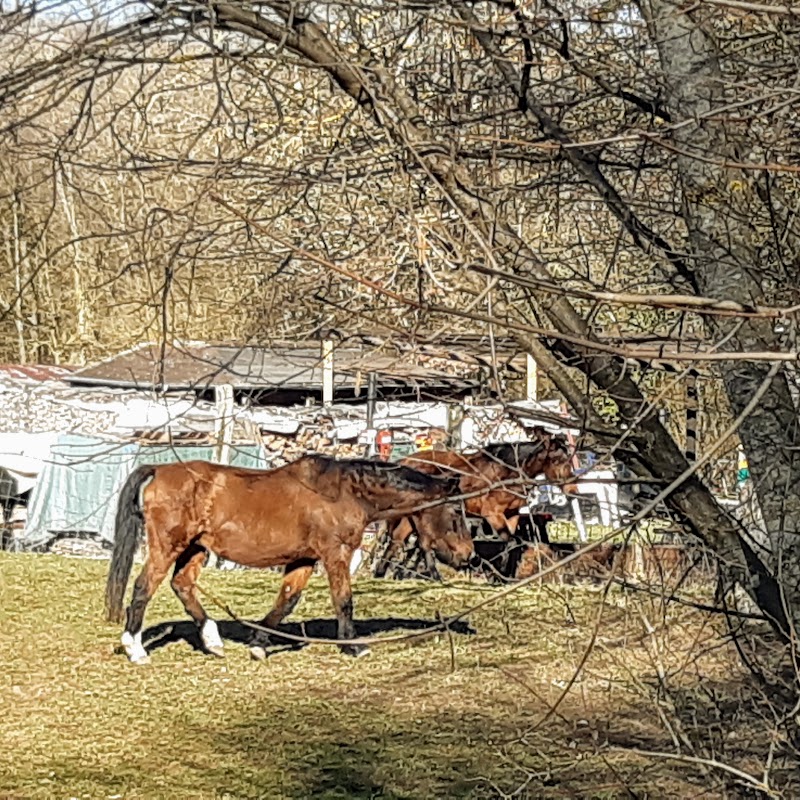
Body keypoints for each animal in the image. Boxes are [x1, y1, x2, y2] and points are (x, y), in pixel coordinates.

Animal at [103, 456, 472, 664]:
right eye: (456, 511)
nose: (467, 555)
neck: (345, 493)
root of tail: (160, 470)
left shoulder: (304, 560)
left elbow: (287, 601)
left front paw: (259, 644)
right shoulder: (335, 554)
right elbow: (344, 600)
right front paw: (354, 646)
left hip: (195, 548)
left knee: (182, 585)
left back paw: (212, 641)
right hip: (168, 546)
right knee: (143, 587)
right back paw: (135, 648)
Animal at [376, 428, 576, 580]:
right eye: (557, 460)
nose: (573, 489)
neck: (506, 473)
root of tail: (403, 461)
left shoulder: (512, 514)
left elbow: (516, 543)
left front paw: (506, 576)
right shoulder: (492, 513)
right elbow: (512, 541)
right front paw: (499, 573)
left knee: (399, 540)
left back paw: (385, 573)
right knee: (414, 541)